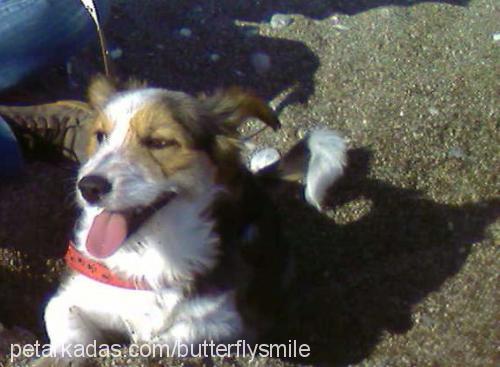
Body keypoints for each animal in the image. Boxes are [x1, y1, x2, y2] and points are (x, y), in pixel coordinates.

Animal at [30, 76, 344, 366]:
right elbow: (67, 331)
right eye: (100, 136)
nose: (89, 187)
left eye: (159, 143)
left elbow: (174, 337)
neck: (148, 254)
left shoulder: (229, 325)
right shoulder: (70, 297)